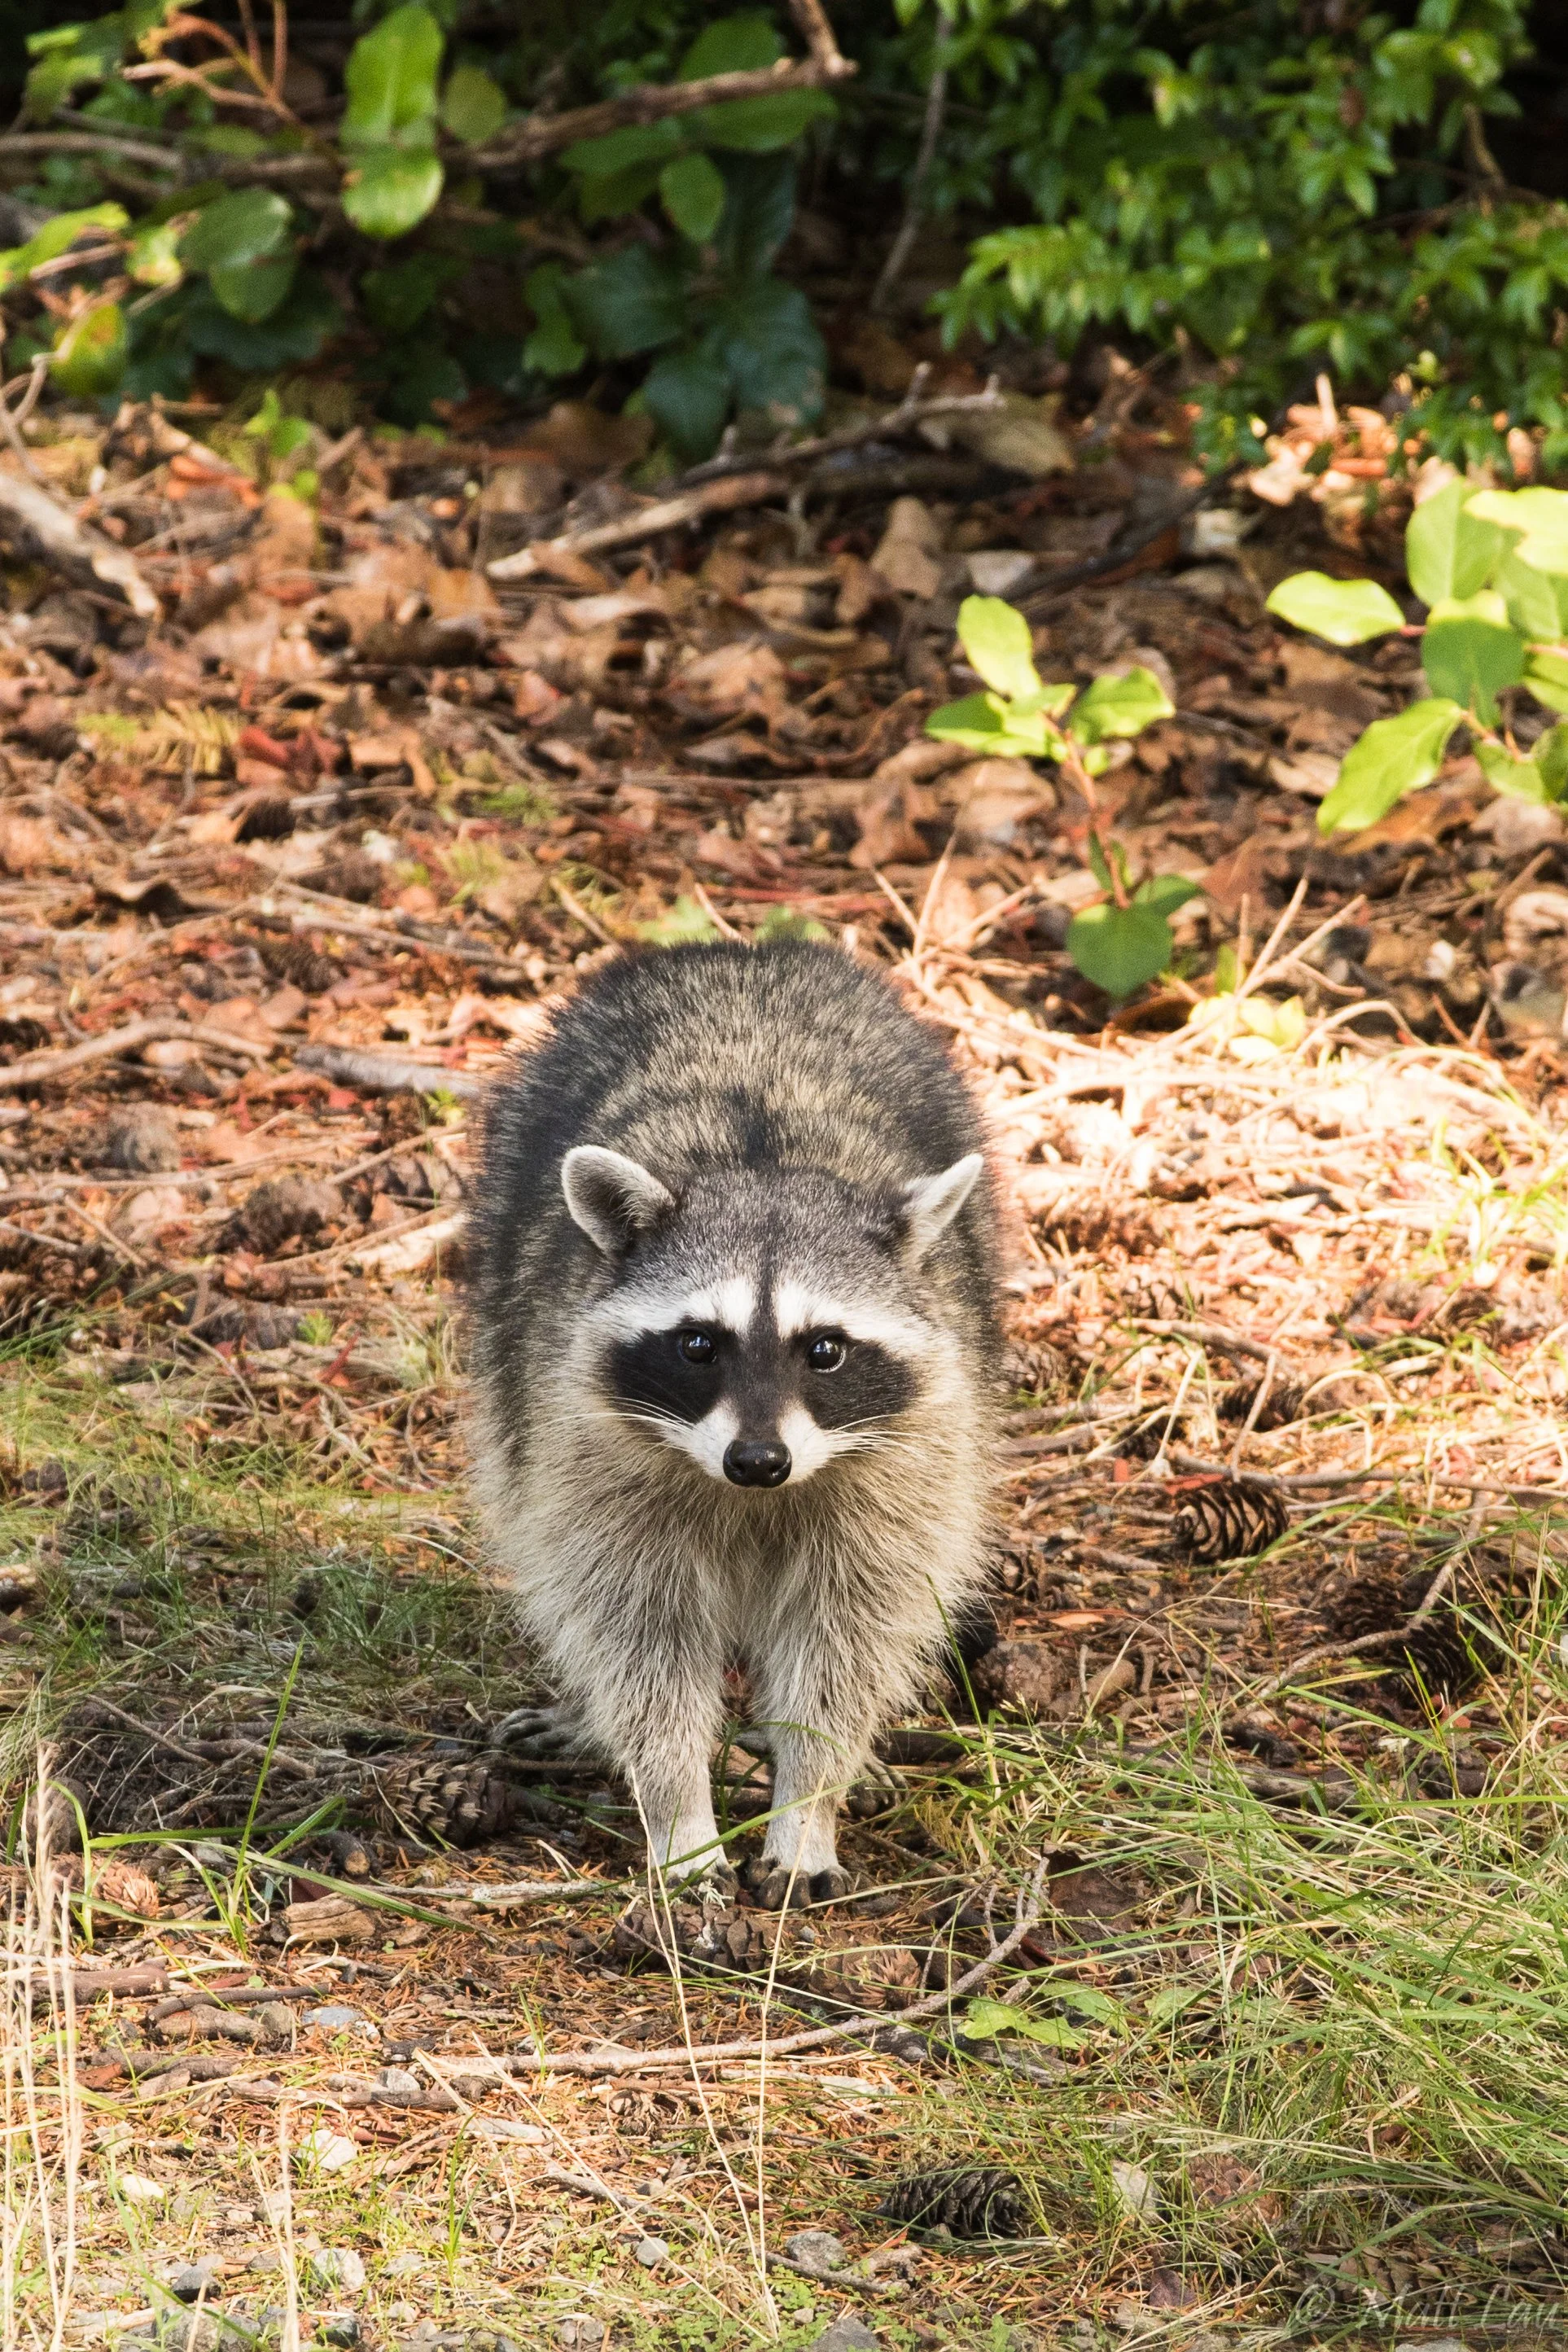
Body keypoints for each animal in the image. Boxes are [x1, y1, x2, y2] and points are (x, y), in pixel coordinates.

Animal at [468, 940, 997, 1903]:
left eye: (824, 1349)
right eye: (698, 1345)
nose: (758, 1460)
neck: (765, 1167)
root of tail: (743, 950)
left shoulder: (907, 1462)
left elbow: (847, 1639)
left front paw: (809, 1800)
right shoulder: (590, 1444)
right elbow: (639, 1637)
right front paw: (679, 1814)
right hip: (507, 1333)